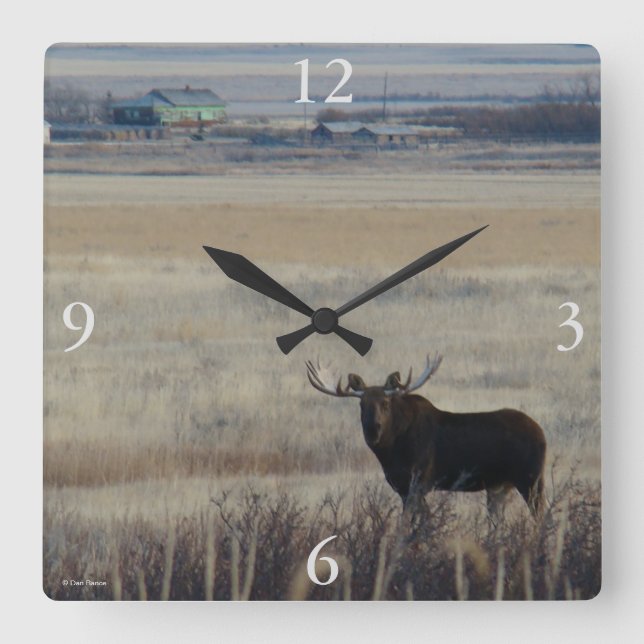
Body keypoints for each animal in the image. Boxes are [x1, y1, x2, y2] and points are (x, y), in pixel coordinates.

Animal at [306, 354, 546, 524]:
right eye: (361, 404)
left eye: (385, 402)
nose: (373, 429)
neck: (390, 453)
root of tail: (542, 434)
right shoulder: (402, 487)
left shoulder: (420, 482)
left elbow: (414, 524)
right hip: (500, 486)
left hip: (530, 479)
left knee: (541, 516)